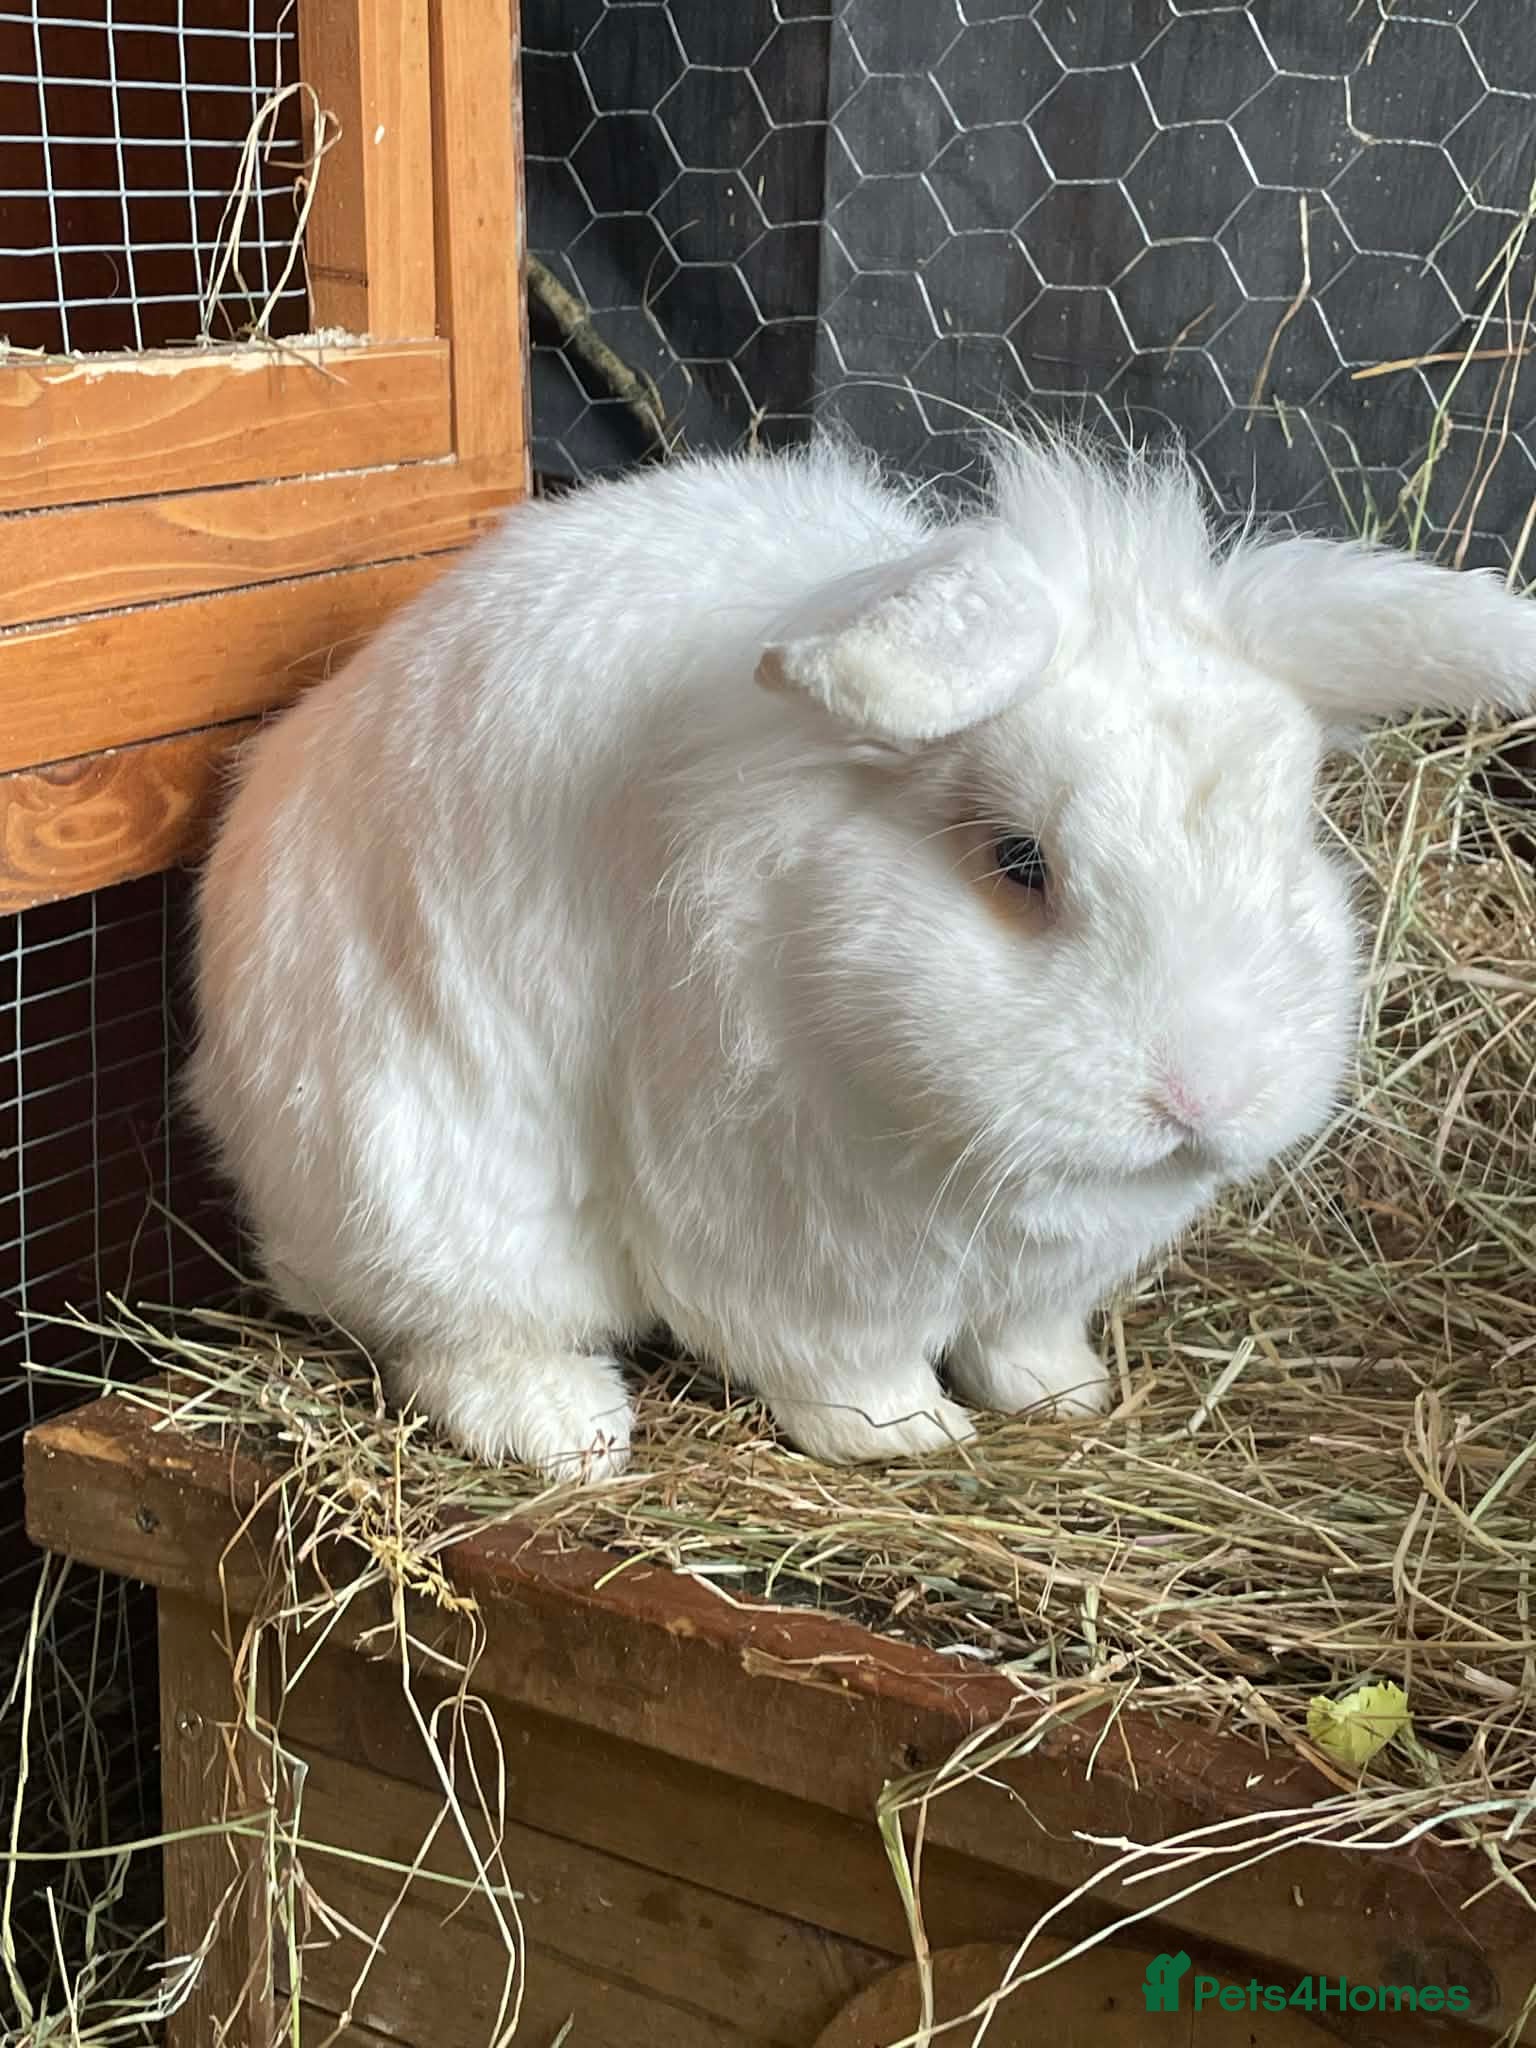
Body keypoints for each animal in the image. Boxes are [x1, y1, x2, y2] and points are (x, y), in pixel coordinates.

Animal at [187, 430, 1536, 1482]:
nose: (1199, 1097)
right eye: (1018, 859)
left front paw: (1067, 1395)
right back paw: (570, 1427)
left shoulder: (1042, 1276)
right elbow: (841, 1363)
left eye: (1290, 829)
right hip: (421, 1183)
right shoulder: (784, 1233)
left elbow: (1026, 1340)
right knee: (439, 1333)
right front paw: (909, 1433)